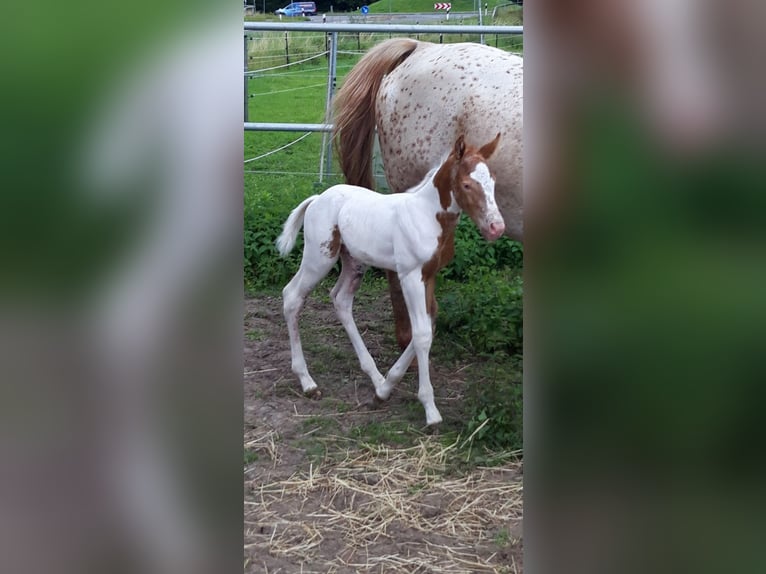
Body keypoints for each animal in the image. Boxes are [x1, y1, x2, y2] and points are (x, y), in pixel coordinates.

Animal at [277, 133, 503, 426]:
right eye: (466, 184)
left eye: (493, 181)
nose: (496, 227)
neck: (426, 215)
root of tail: (317, 199)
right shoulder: (409, 275)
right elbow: (421, 333)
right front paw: (430, 409)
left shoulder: (429, 275)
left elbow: (429, 324)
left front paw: (385, 389)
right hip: (320, 257)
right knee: (292, 296)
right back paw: (307, 382)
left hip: (354, 262)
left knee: (341, 300)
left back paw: (375, 376)